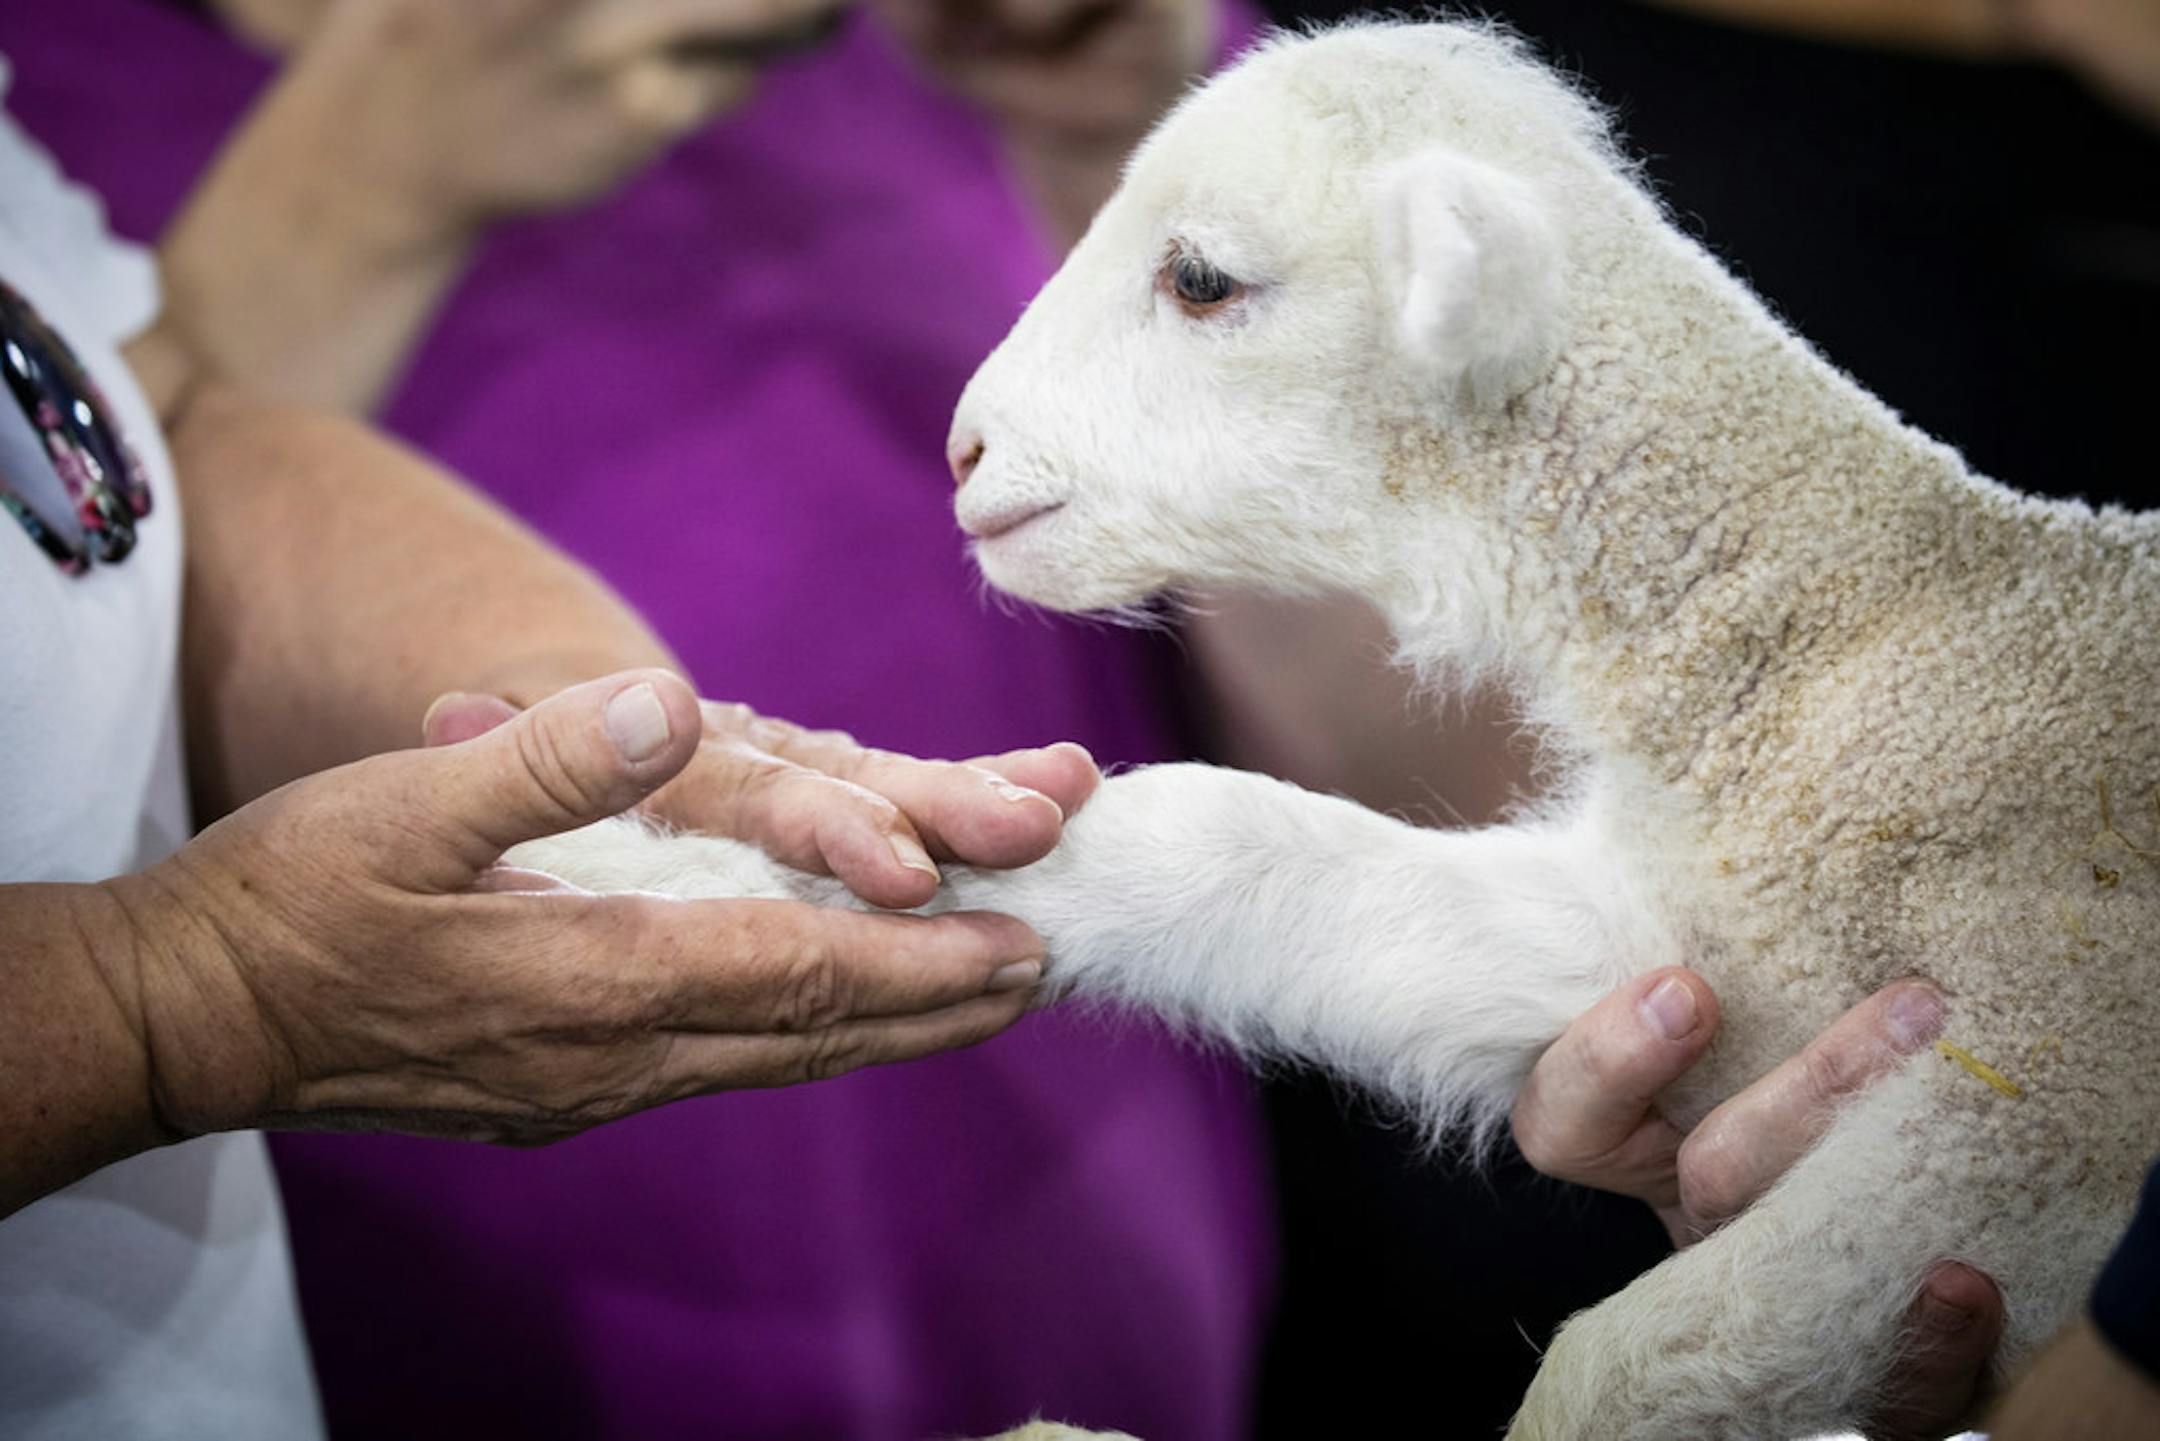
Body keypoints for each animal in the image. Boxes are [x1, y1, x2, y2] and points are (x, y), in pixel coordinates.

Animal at [507, 18, 2160, 1438]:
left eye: (1202, 280)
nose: (964, 449)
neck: (1839, 657)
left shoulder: (2040, 1105)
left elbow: (1637, 1357)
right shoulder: (1675, 959)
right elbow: (1216, 840)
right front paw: (636, 880)